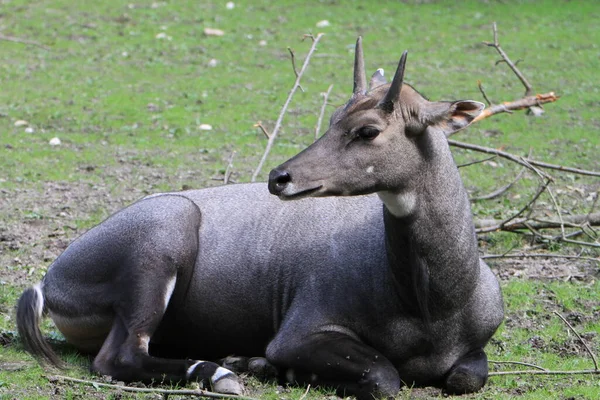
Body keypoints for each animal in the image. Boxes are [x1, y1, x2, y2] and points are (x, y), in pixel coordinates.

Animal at [17, 38, 502, 400]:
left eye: (367, 130)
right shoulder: (301, 334)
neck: (432, 304)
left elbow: (467, 376)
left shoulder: (474, 350)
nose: (279, 177)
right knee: (119, 358)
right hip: (164, 239)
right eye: (333, 118)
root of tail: (51, 281)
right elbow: (384, 377)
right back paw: (222, 373)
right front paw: (272, 367)